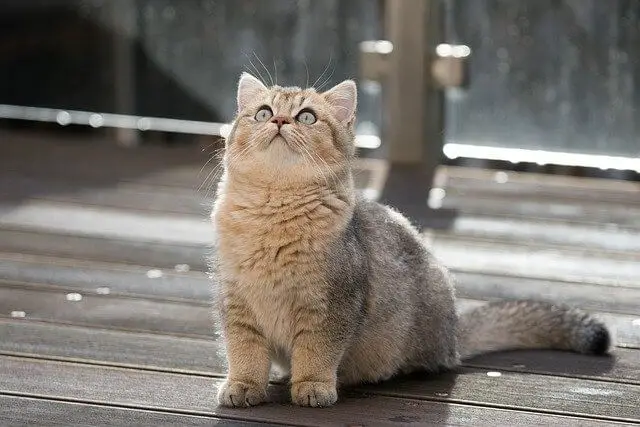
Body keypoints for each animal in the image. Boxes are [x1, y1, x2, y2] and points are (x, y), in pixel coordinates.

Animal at [210, 72, 608, 408]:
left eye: (306, 117)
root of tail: (454, 335)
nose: (278, 121)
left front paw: (312, 386)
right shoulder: (236, 302)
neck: (273, 213)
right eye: (263, 113)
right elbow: (244, 351)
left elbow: (316, 352)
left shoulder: (332, 305)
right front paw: (244, 385)